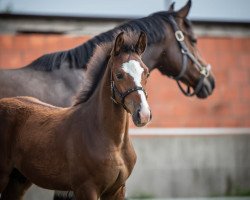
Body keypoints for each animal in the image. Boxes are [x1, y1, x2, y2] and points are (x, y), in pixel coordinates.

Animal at [0, 31, 150, 200]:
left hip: (18, 179)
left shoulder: (117, 190)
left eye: (146, 73)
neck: (114, 142)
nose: (143, 114)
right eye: (119, 75)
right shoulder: (86, 189)